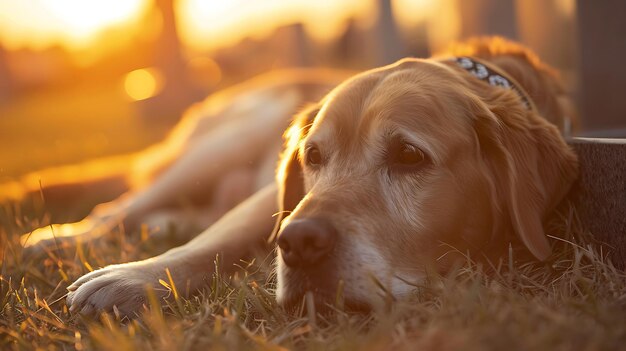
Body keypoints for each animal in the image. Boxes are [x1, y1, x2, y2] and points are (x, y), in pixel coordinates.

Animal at [12, 37, 576, 316]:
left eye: (409, 156)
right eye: (313, 157)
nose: (300, 242)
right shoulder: (274, 199)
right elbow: (215, 242)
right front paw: (134, 279)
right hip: (234, 134)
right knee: (119, 206)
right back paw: (63, 237)